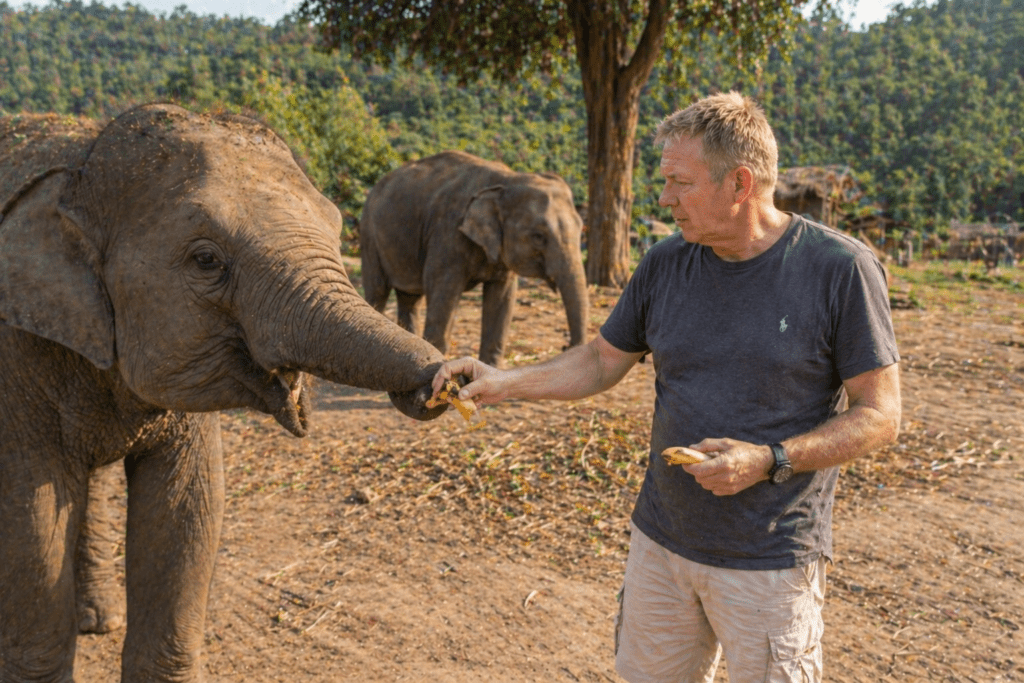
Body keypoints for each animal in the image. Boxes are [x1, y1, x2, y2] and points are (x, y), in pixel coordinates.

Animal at [0, 104, 451, 682]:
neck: (83, 163)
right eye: (206, 260)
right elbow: (34, 520)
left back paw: (99, 621)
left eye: (335, 227)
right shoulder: (16, 355)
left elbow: (186, 513)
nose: (441, 382)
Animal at [359, 151, 589, 366]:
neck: (507, 180)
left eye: (580, 229)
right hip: (369, 235)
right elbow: (443, 295)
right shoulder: (448, 234)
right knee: (377, 292)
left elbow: (502, 299)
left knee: (410, 299)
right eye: (538, 236)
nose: (565, 345)